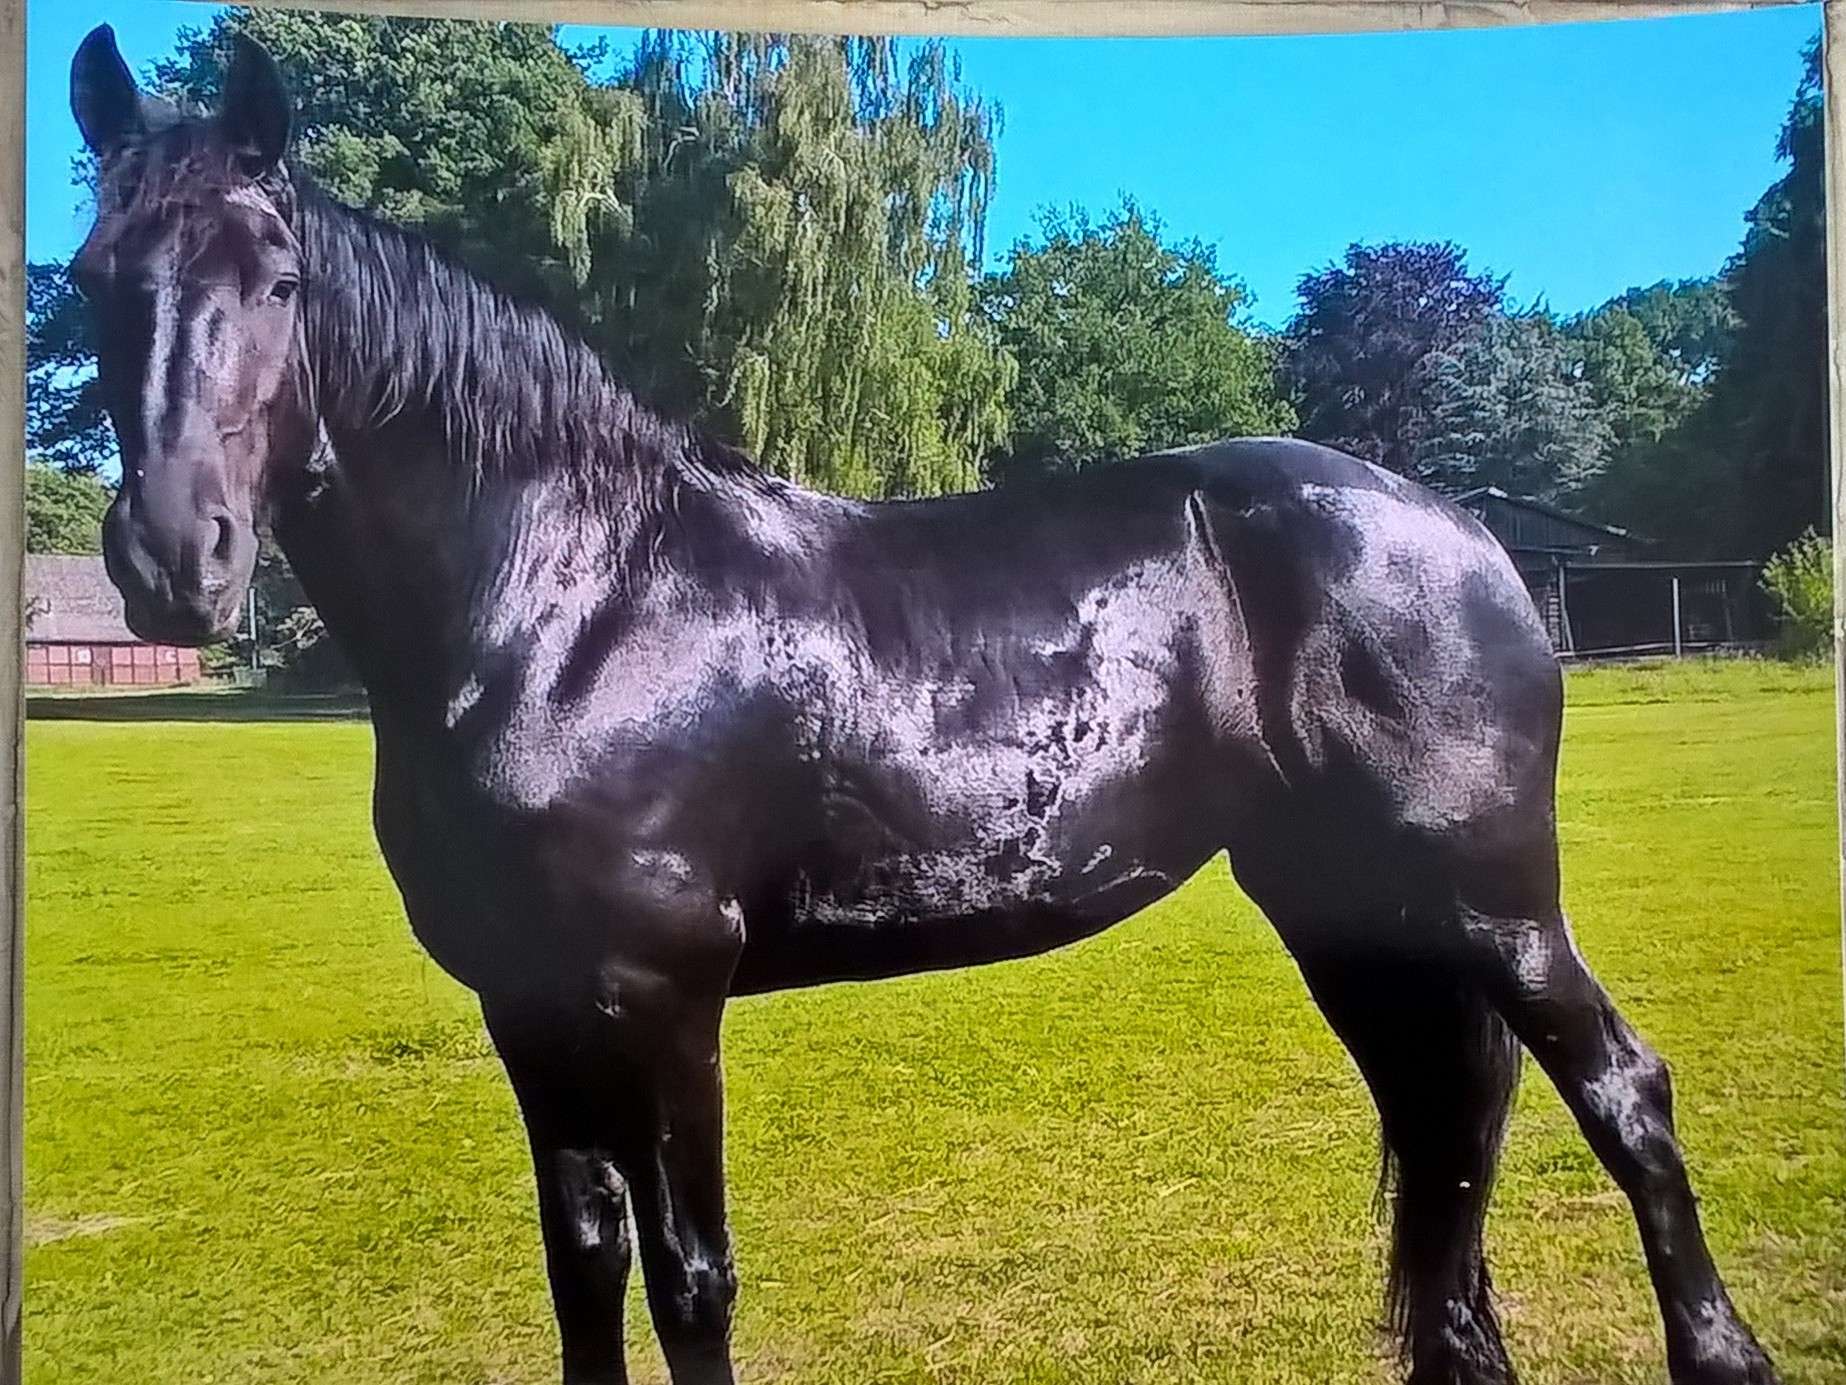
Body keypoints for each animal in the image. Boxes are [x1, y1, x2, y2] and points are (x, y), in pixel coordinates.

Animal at [68, 26, 1778, 1385]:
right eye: (95, 279)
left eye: (278, 279)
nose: (173, 559)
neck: (566, 605)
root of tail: (1458, 530)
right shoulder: (526, 1008)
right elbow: (585, 1272)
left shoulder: (659, 998)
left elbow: (691, 1284)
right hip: (1351, 912)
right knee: (1442, 1136)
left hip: (1488, 895)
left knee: (1618, 1093)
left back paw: (1721, 1348)